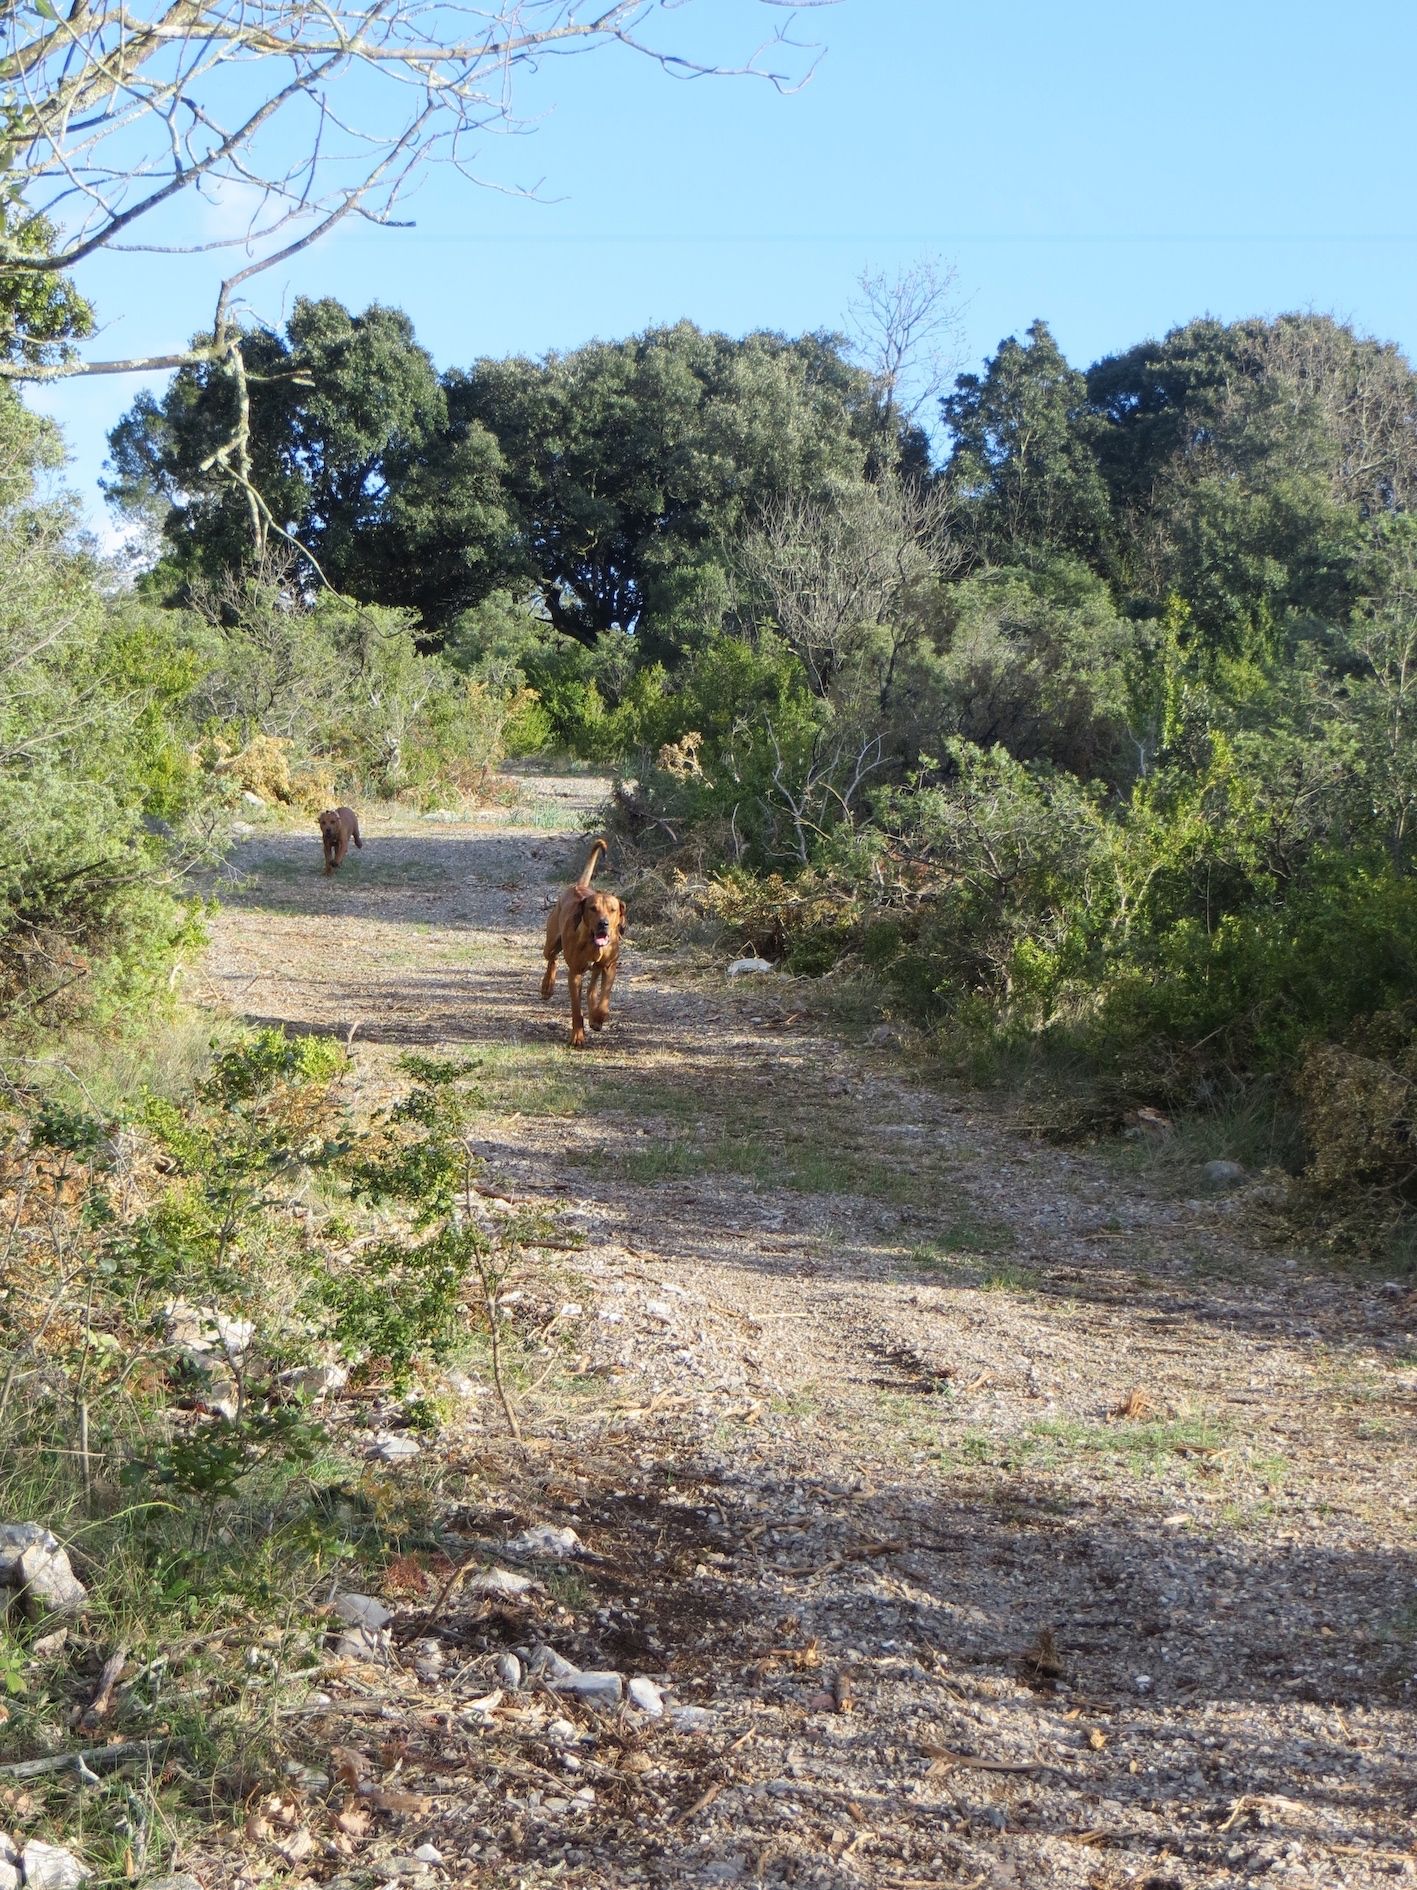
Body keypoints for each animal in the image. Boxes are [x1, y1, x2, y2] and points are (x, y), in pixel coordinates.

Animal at [544, 839, 627, 1050]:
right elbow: (576, 1009)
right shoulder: (575, 974)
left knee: (592, 988)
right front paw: (577, 1036)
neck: (593, 944)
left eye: (613, 910)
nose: (603, 924)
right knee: (552, 959)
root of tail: (577, 886)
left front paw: (597, 1018)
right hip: (551, 943)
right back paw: (546, 987)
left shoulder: (610, 967)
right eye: (592, 909)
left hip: (597, 967)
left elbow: (604, 997)